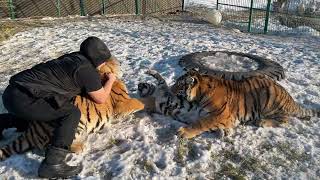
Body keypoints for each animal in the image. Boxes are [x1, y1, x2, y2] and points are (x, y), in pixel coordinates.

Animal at [0, 56, 144, 160]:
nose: (119, 62)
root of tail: (32, 131)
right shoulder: (121, 103)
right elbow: (138, 102)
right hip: (74, 123)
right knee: (52, 146)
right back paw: (80, 146)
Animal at [139, 69, 318, 139]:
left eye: (179, 85)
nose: (171, 89)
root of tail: (289, 97)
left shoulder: (219, 114)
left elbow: (202, 122)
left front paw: (185, 131)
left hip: (271, 100)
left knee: (286, 119)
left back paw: (262, 121)